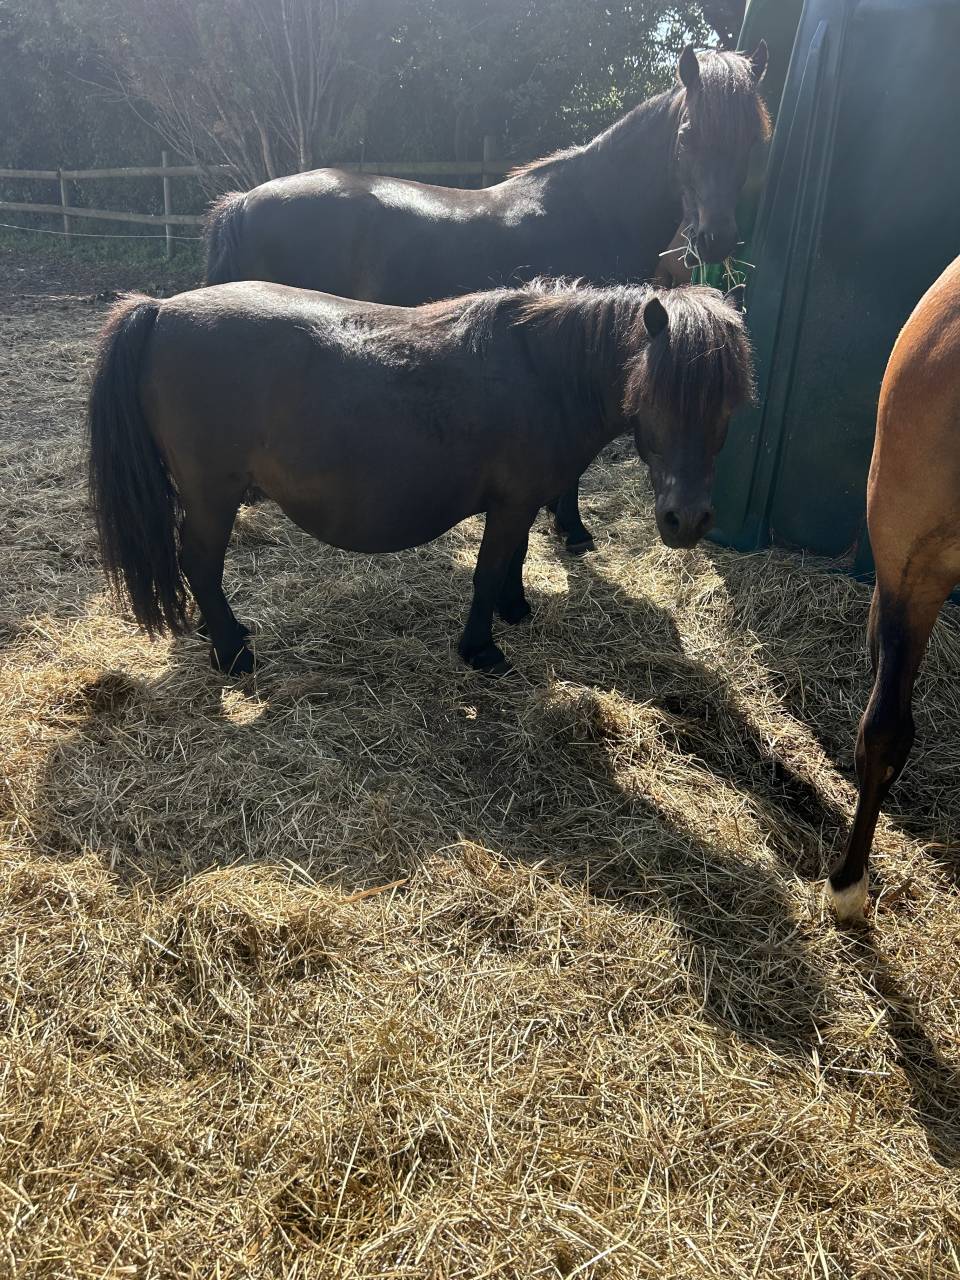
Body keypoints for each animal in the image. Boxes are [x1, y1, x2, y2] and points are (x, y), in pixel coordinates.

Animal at [88, 280, 754, 678]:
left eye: (729, 406)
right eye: (655, 396)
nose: (687, 521)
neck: (544, 372)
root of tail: (162, 310)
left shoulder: (520, 503)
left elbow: (514, 560)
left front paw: (516, 609)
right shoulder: (510, 503)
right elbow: (488, 571)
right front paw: (481, 649)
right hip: (213, 494)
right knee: (199, 562)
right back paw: (233, 653)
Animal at [204, 44, 769, 556]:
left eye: (751, 141)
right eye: (688, 136)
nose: (716, 239)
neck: (593, 212)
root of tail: (243, 203)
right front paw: (573, 530)